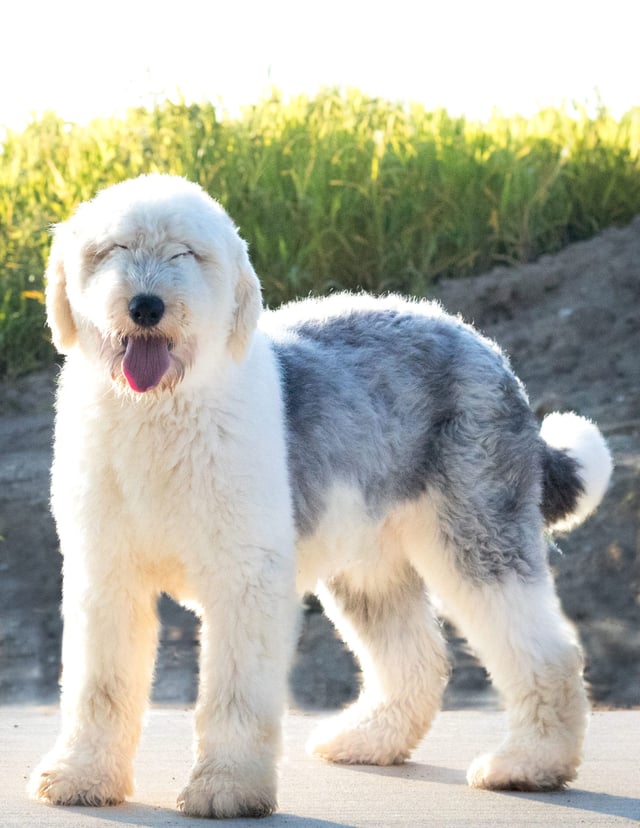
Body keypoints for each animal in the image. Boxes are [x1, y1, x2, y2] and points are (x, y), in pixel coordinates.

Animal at [30, 173, 608, 816]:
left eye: (187, 254)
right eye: (111, 251)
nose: (146, 306)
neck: (159, 414)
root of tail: (484, 346)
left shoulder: (246, 578)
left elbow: (235, 692)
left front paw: (227, 788)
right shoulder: (106, 575)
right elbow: (100, 687)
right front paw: (83, 775)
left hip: (478, 533)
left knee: (547, 651)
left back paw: (531, 764)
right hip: (367, 560)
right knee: (416, 658)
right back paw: (369, 739)